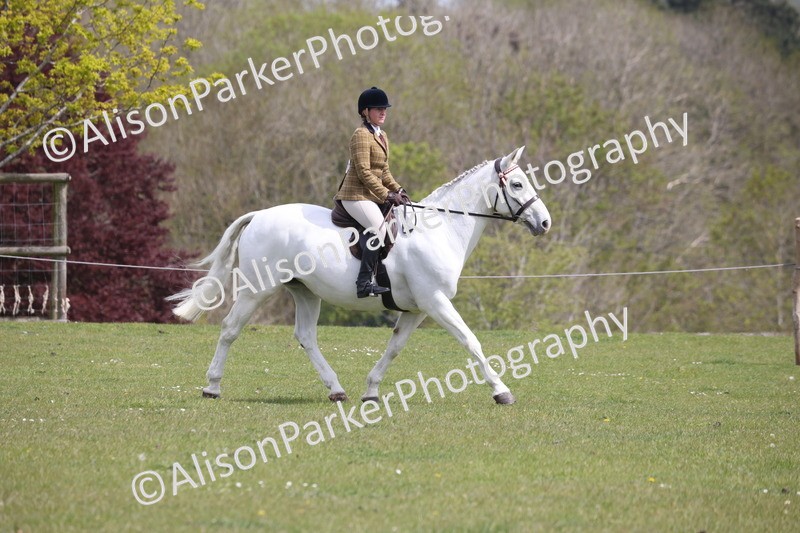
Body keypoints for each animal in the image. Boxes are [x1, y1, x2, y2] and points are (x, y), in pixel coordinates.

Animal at [167, 146, 551, 405]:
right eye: (517, 184)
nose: (545, 223)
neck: (440, 227)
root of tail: (259, 215)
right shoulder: (436, 302)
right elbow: (471, 341)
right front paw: (502, 391)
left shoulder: (417, 309)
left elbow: (395, 348)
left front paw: (371, 390)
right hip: (256, 290)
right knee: (230, 328)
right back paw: (212, 386)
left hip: (305, 291)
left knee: (306, 335)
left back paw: (337, 390)